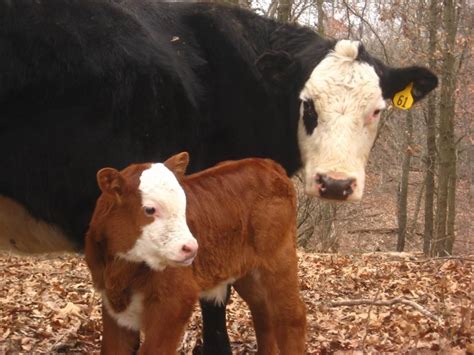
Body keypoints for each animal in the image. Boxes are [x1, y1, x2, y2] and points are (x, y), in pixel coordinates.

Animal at [84, 153, 308, 355]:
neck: (122, 270)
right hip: (247, 270)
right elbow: (112, 349)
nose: (191, 248)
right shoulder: (112, 304)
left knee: (292, 316)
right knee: (262, 310)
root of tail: (267, 163)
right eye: (149, 209)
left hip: (279, 257)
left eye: (183, 205)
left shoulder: (176, 300)